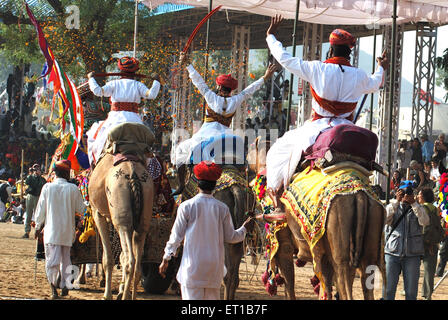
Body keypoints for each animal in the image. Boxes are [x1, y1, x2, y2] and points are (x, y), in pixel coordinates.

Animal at [248, 136, 384, 298]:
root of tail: (360, 196)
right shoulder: (323, 250)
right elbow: (326, 284)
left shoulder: (283, 242)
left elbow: (289, 284)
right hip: (369, 236)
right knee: (365, 277)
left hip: (341, 246)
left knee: (344, 279)